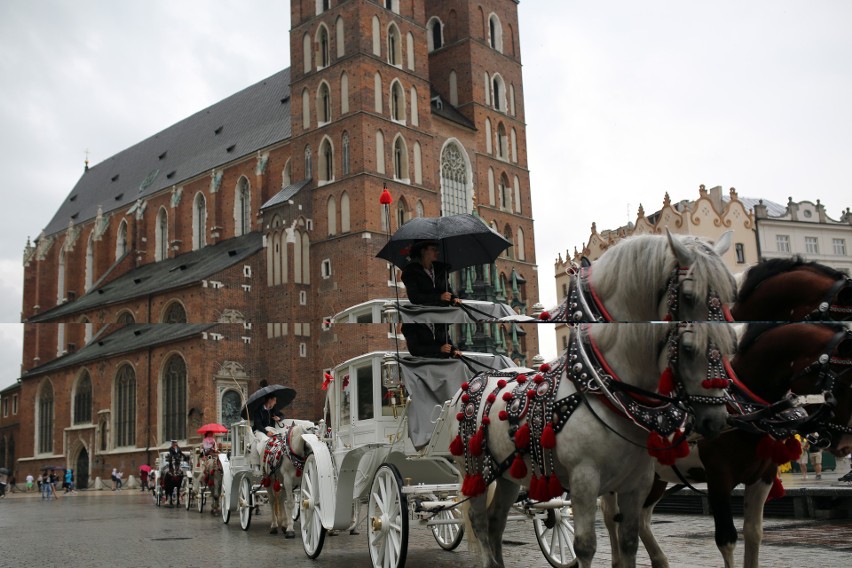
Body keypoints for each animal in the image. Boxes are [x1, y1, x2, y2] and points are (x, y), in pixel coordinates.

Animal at [450, 232, 736, 568]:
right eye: (690, 294)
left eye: (730, 293)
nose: (716, 420)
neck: (605, 386)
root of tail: (469, 384)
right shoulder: (584, 482)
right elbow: (585, 546)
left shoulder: (636, 484)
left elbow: (629, 543)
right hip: (476, 471)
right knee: (480, 522)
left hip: (506, 474)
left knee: (496, 522)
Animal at [604, 324, 852, 568]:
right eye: (842, 383)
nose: (846, 444)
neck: (743, 413)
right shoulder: (718, 479)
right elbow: (727, 539)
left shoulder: (763, 478)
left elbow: (753, 533)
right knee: (612, 517)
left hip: (656, 478)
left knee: (641, 518)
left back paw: (659, 560)